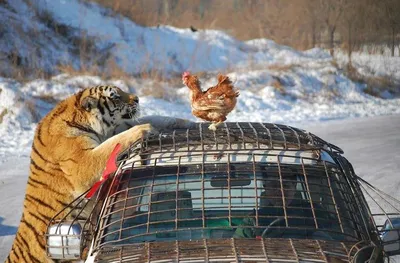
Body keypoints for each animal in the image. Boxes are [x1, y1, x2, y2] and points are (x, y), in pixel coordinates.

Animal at [3, 85, 194, 262]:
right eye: (115, 97)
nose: (137, 99)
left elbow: (154, 118)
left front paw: (191, 123)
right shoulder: (83, 162)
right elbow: (116, 142)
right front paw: (144, 129)